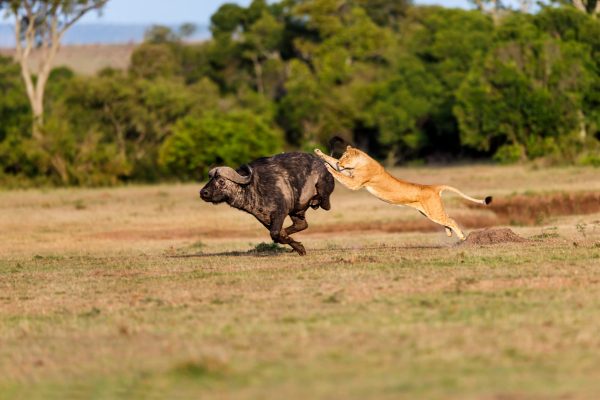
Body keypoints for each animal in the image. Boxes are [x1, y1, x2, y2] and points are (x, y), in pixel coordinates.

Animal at [200, 152, 332, 255]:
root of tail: (322, 164)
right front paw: (298, 247)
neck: (253, 185)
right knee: (302, 225)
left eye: (221, 181)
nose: (203, 192)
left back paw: (315, 200)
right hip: (296, 212)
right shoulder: (264, 218)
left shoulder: (280, 212)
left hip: (322, 192)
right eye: (210, 179)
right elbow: (278, 235)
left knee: (325, 204)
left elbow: (275, 233)